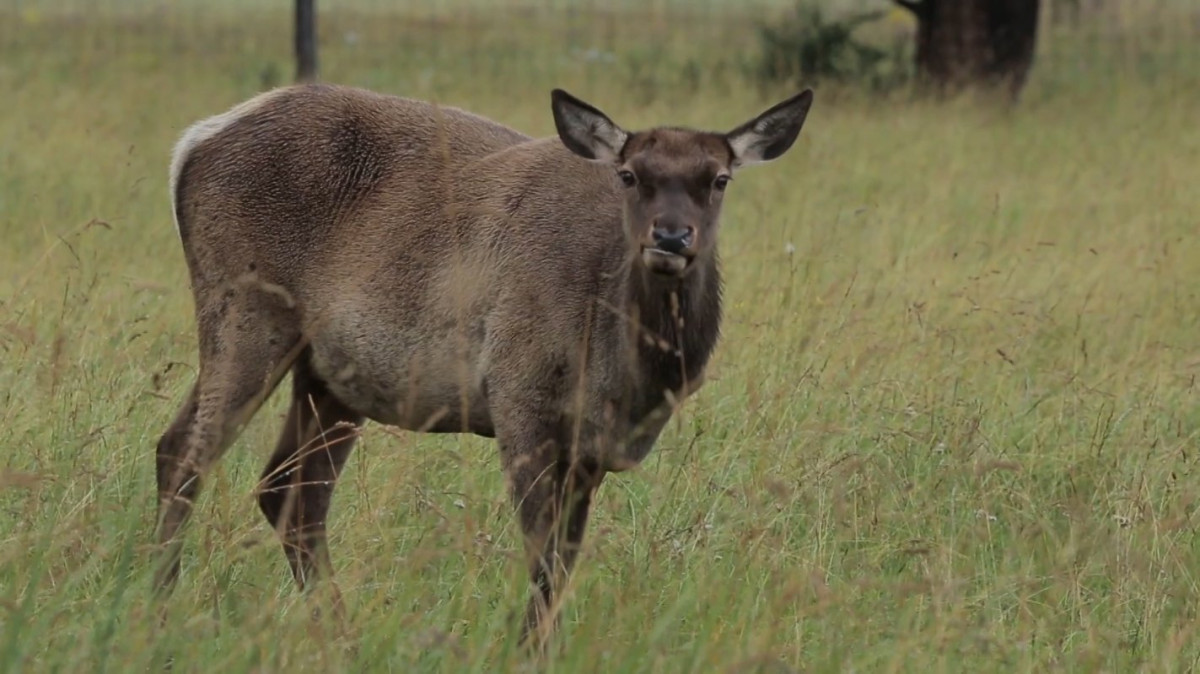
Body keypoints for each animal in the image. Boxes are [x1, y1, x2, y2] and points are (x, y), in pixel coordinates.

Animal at [154, 83, 816, 647]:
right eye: (630, 174)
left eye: (720, 178)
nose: (672, 237)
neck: (623, 380)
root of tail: (193, 142)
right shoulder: (520, 395)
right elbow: (543, 555)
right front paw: (530, 650)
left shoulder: (589, 448)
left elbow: (566, 558)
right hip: (245, 310)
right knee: (183, 451)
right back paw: (161, 606)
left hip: (330, 376)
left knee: (290, 492)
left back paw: (340, 634)